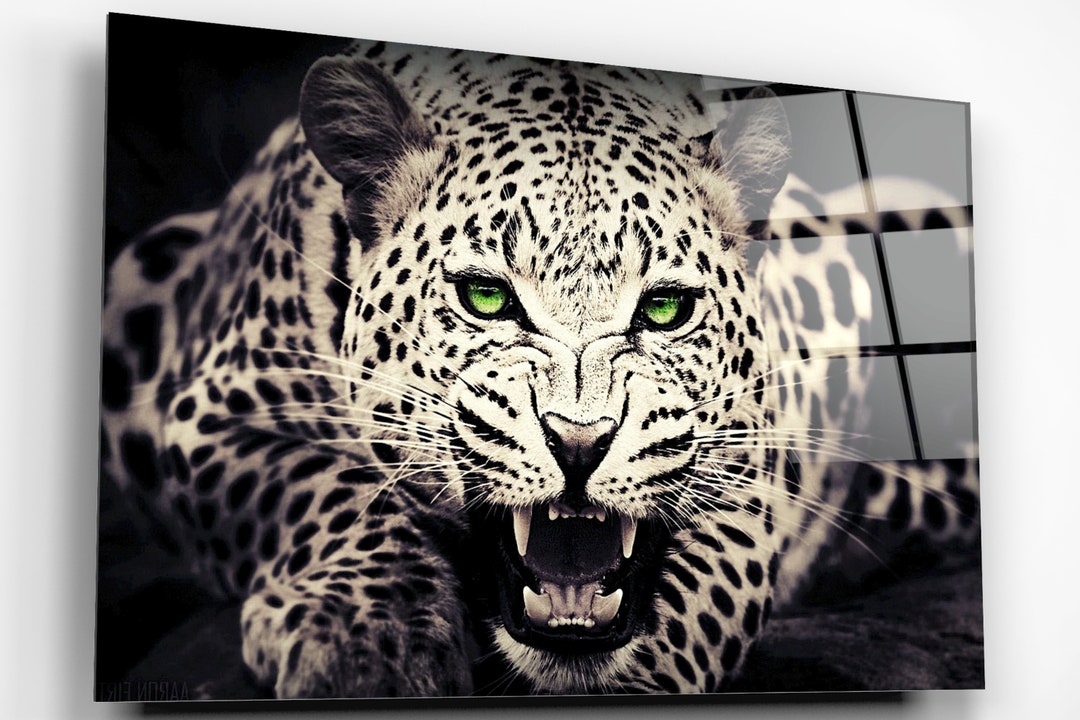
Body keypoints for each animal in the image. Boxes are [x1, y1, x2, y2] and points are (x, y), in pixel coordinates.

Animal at [98, 39, 980, 697]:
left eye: (665, 309)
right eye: (486, 296)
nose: (579, 443)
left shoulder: (753, 469)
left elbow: (696, 595)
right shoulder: (213, 417)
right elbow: (327, 490)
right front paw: (366, 640)